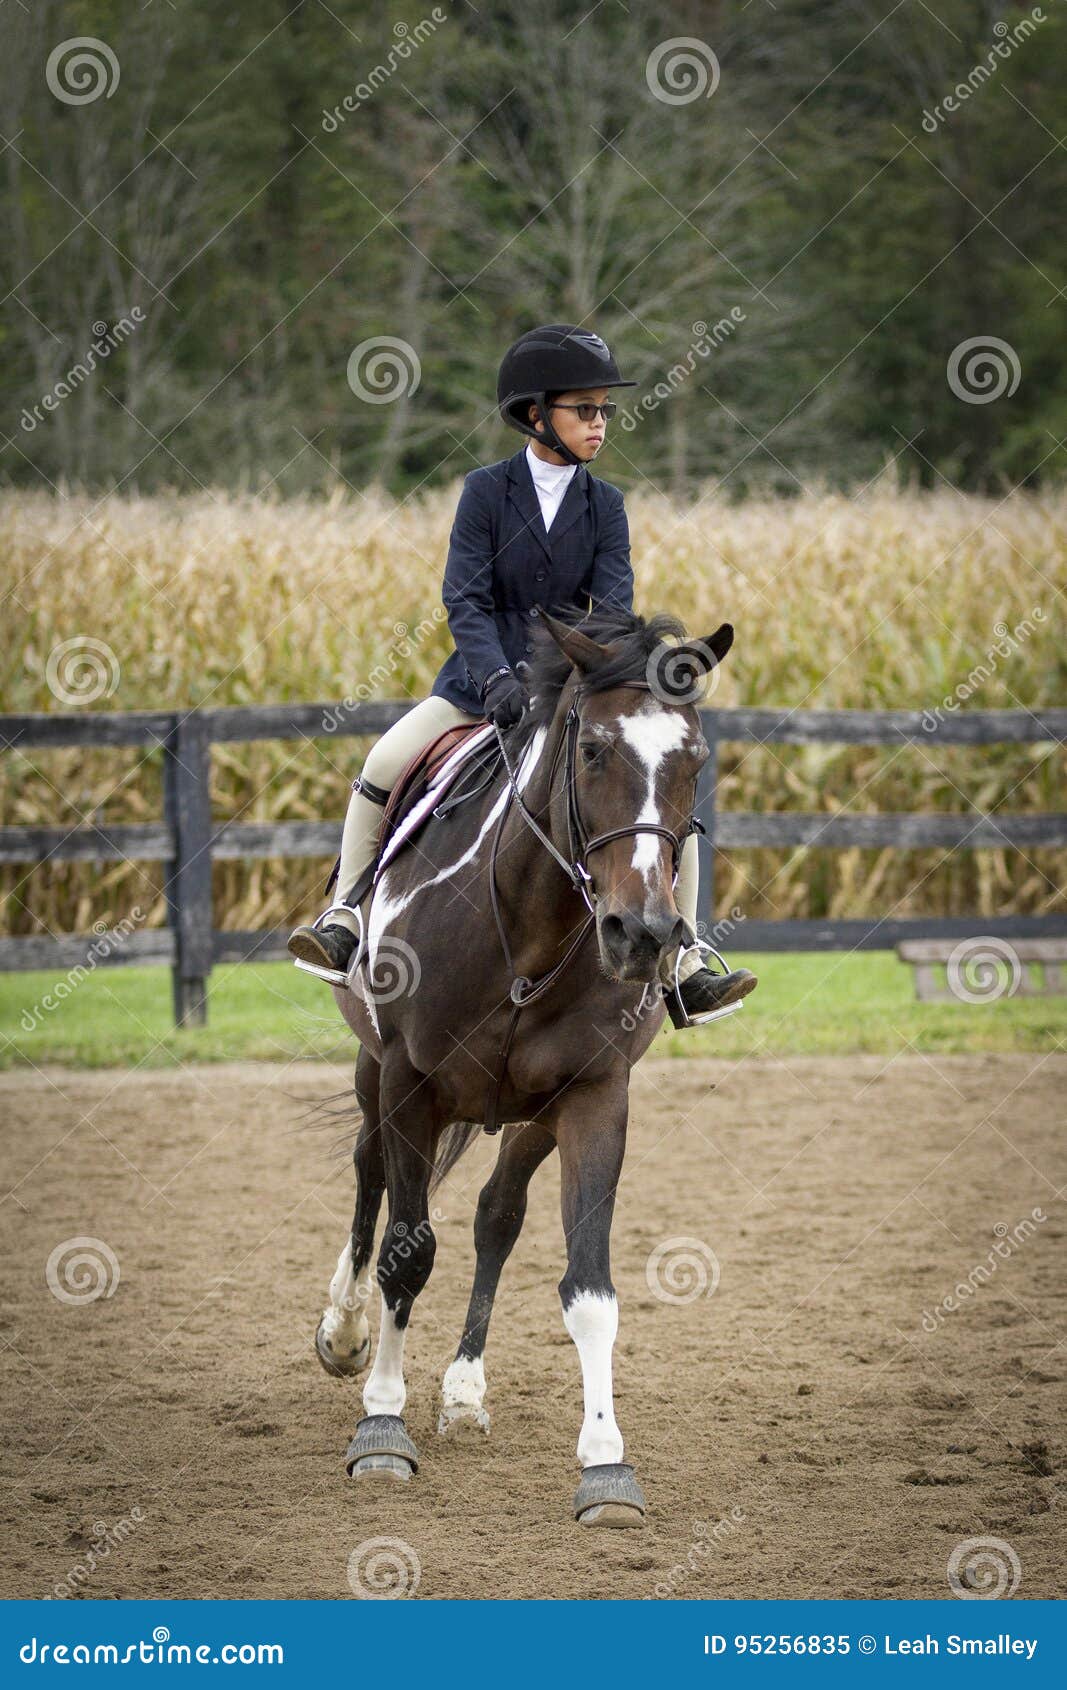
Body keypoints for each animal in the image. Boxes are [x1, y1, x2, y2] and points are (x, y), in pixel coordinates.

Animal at [314, 605, 735, 1527]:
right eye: (593, 750)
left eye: (693, 760)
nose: (644, 935)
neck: (528, 928)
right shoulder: (407, 1083)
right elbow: (405, 1252)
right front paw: (381, 1423)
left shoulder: (593, 1096)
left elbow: (589, 1289)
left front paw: (606, 1464)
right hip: (374, 1073)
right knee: (369, 1174)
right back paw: (344, 1332)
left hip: (527, 1116)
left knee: (495, 1217)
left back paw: (465, 1391)